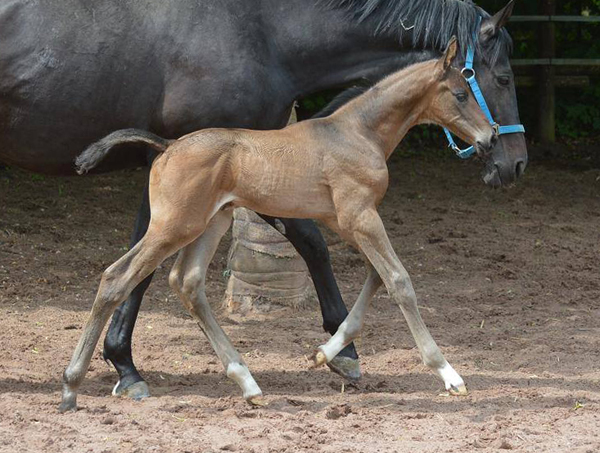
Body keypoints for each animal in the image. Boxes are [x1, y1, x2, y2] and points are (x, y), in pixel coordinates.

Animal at [0, 0, 524, 396]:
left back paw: (246, 380)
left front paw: (333, 353)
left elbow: (368, 273)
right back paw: (76, 384)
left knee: (184, 281)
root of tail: (166, 146)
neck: (356, 131)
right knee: (119, 275)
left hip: (208, 222)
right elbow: (398, 280)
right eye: (476, 86)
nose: (500, 150)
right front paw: (447, 373)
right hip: (178, 224)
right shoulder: (358, 216)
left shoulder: (349, 218)